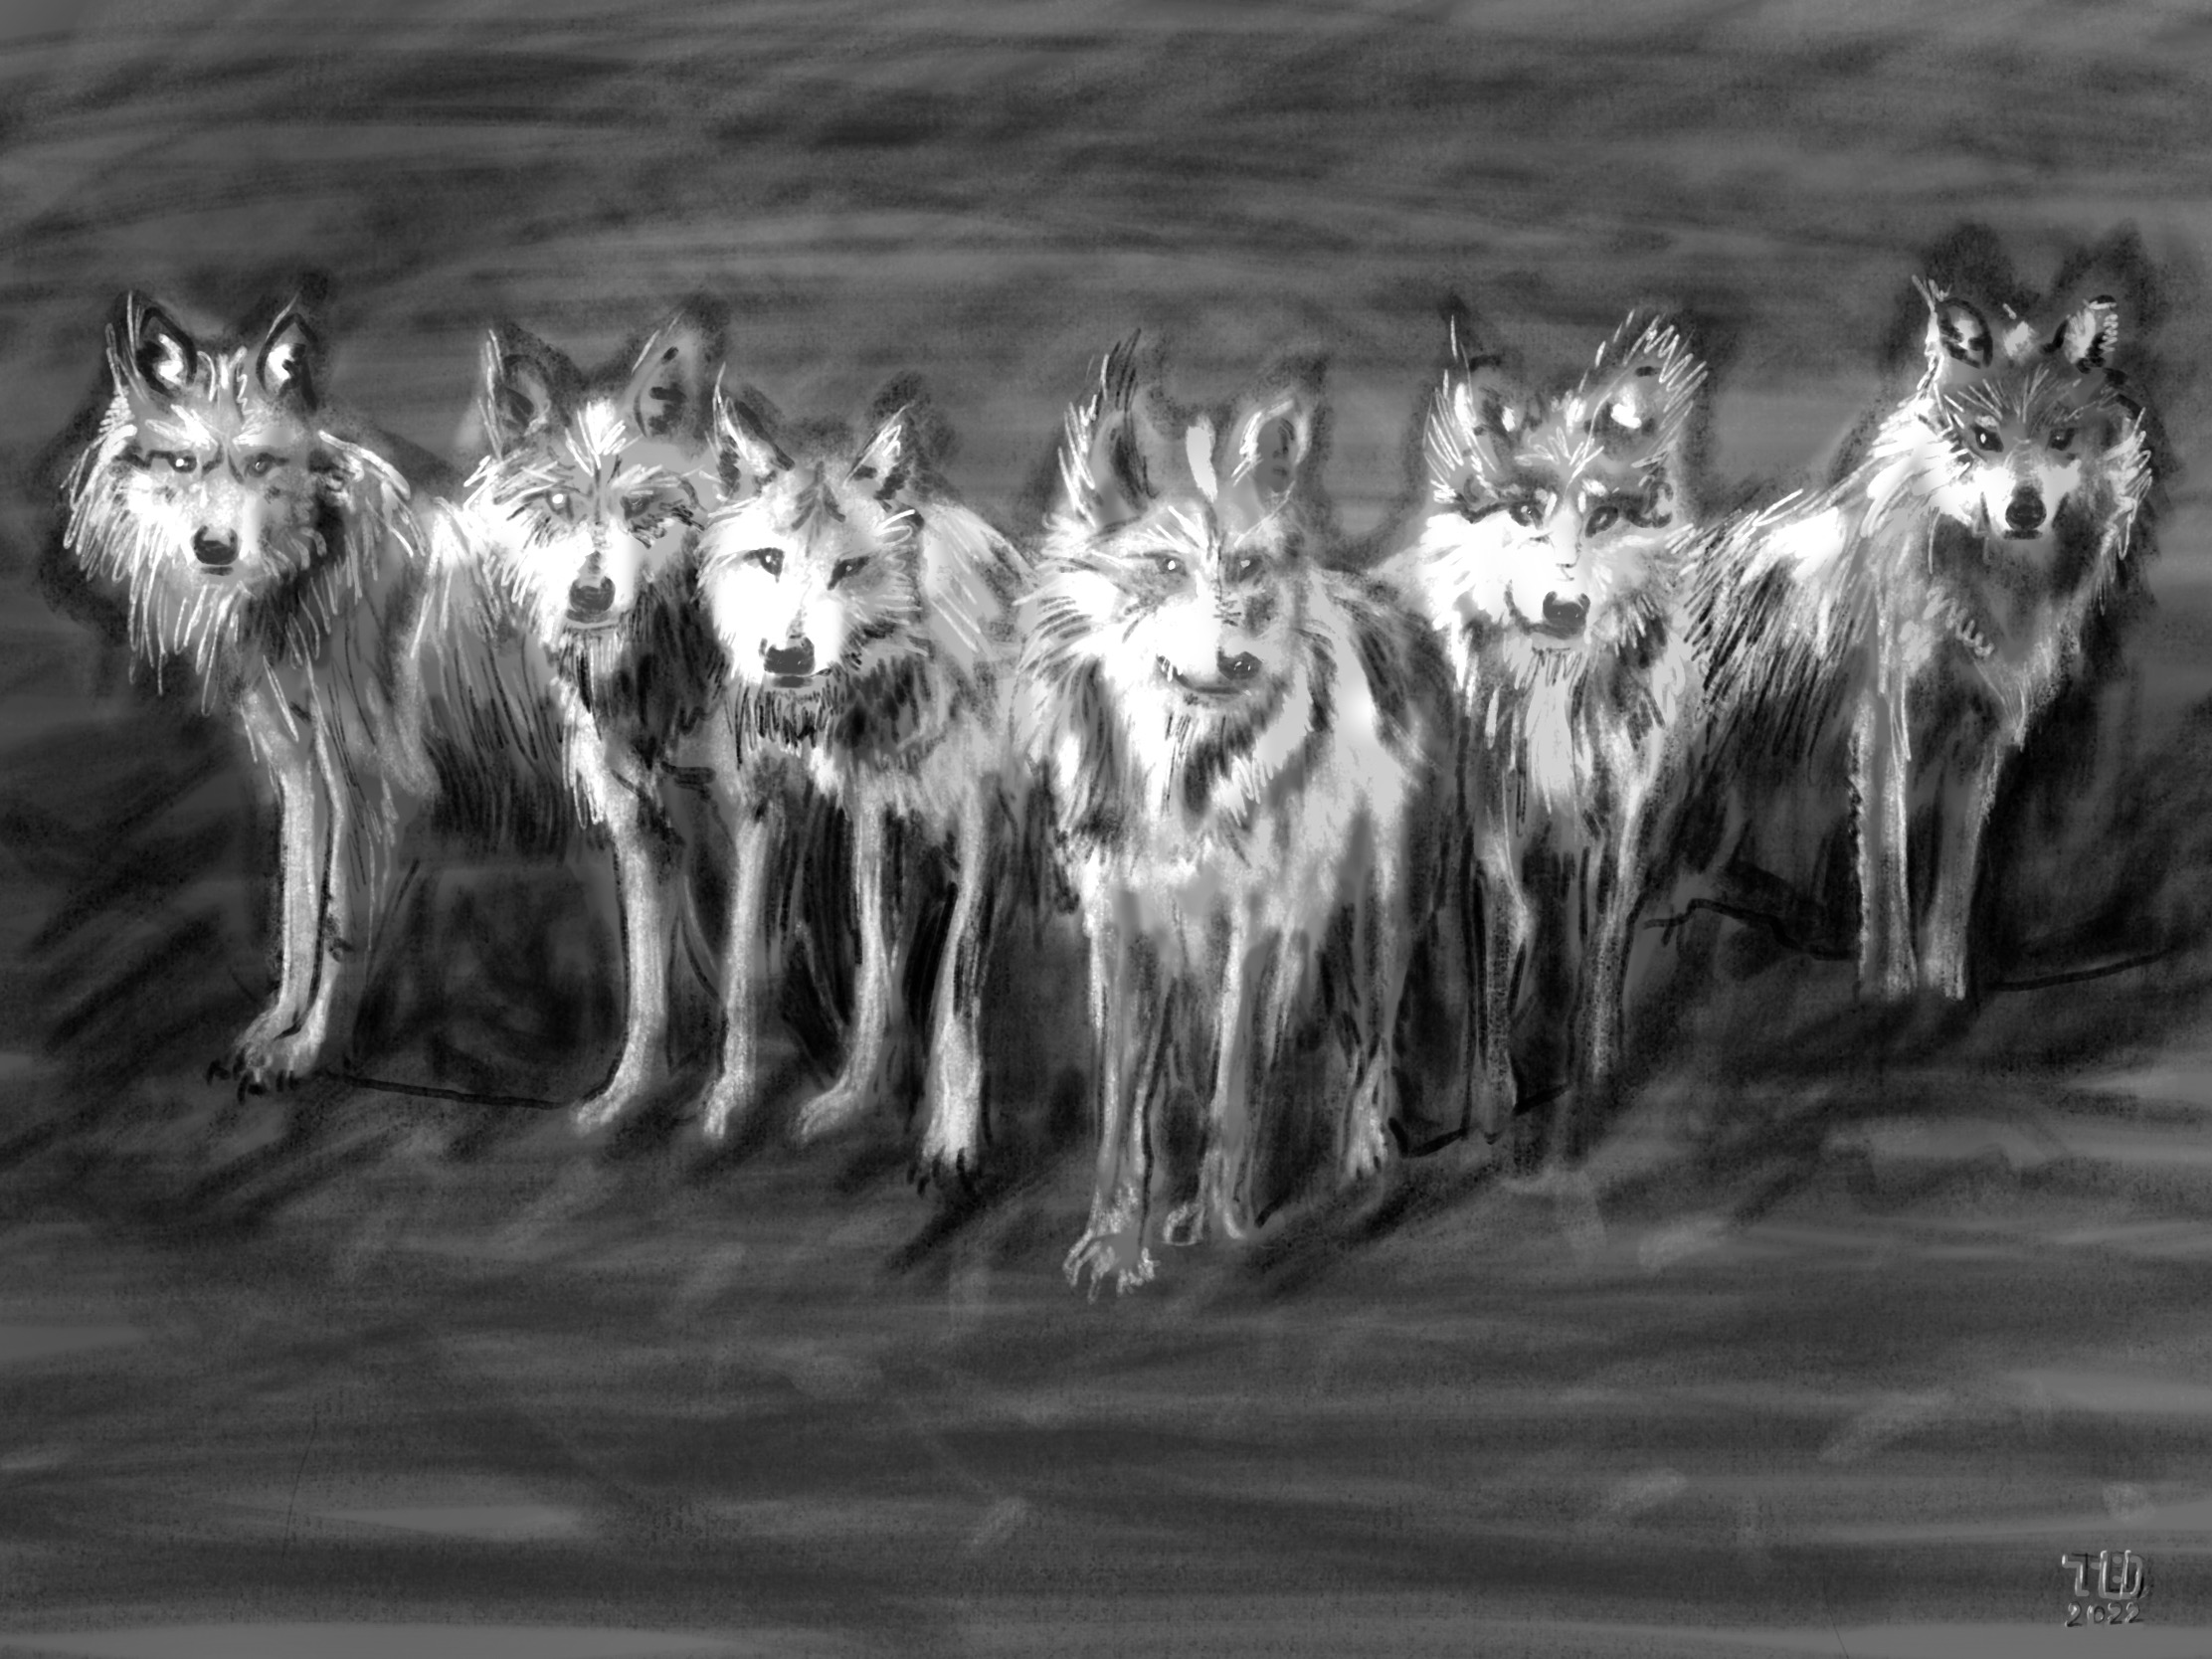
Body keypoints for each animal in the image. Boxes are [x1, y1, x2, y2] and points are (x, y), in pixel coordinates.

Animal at [688, 376, 1030, 1182]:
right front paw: (776, 1103)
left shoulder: (983, 823)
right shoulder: (822, 812)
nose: (786, 656)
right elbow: (785, 966)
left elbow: (956, 989)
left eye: (849, 569)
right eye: (770, 560)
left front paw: (953, 1141)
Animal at [1021, 336, 1454, 1294]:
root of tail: (1373, 591)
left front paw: (1226, 1227)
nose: (1240, 662)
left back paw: (1362, 1158)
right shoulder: (1123, 931)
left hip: (1379, 914)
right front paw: (1115, 1242)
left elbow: (1233, 1089)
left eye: (1248, 568)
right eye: (1167, 569)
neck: (1179, 777)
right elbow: (1123, 1114)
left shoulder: (1256, 925)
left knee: (1373, 1045)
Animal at [1375, 309, 1708, 1168]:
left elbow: (1607, 935)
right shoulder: (1491, 822)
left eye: (1602, 517)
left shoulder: (1625, 818)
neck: (1557, 697)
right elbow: (1502, 941)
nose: (1565, 607)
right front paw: (1494, 1110)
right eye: (1525, 514)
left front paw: (1597, 1073)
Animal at [1688, 279, 2154, 1003]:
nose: (2024, 511)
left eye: (2060, 438)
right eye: (1985, 439)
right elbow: (1885, 865)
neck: (1979, 601)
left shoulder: (1981, 745)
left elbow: (1956, 882)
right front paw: (1887, 989)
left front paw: (1946, 990)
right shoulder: (1885, 729)